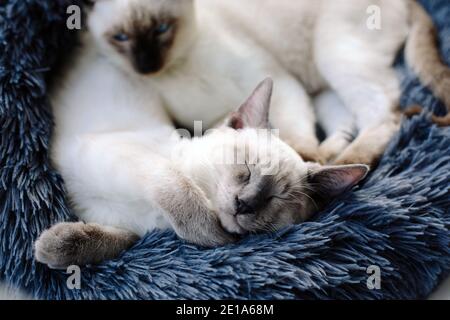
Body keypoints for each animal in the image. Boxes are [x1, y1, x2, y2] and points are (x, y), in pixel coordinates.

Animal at [85, 0, 450, 165]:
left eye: (161, 29)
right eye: (120, 38)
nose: (146, 65)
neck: (177, 71)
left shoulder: (279, 83)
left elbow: (294, 135)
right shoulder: (210, 116)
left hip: (333, 53)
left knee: (385, 115)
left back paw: (348, 163)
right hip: (322, 82)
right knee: (349, 120)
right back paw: (331, 157)